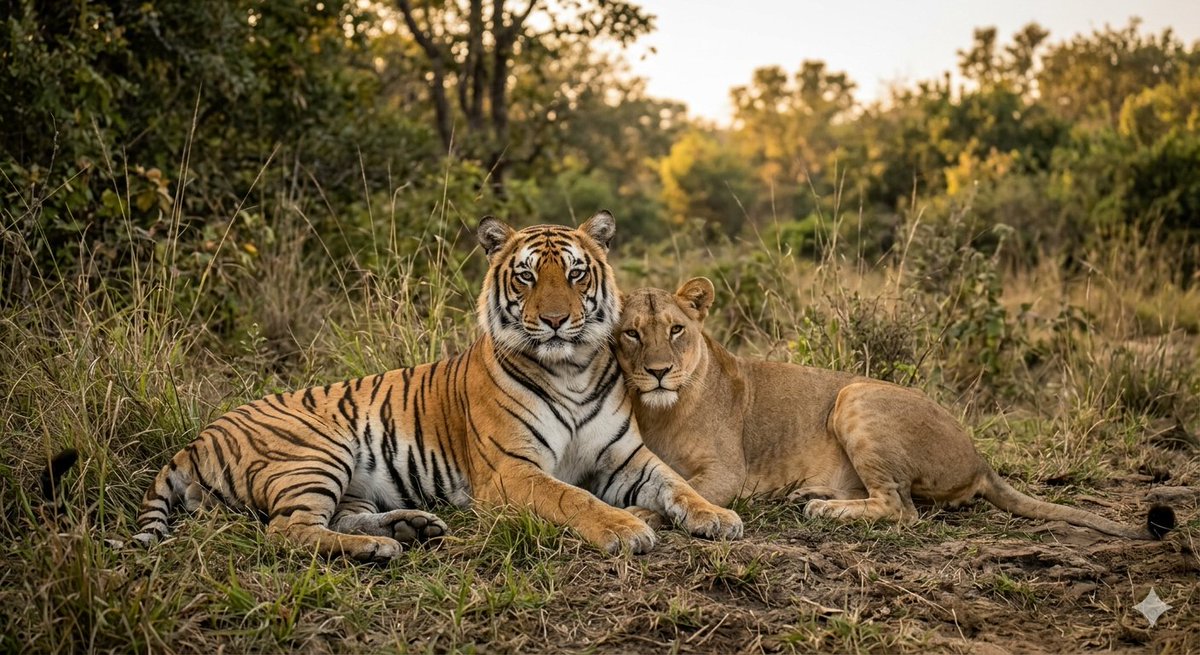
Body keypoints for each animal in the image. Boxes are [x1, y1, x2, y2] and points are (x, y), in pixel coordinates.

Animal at [119, 212, 742, 562]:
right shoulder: (511, 470)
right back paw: (379, 547)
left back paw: (411, 527)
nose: (556, 321)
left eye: (575, 273)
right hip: (316, 452)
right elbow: (572, 496)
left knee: (331, 517)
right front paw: (624, 527)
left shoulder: (624, 457)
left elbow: (676, 485)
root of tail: (197, 438)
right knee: (286, 531)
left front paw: (717, 516)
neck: (572, 368)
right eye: (526, 276)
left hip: (347, 480)